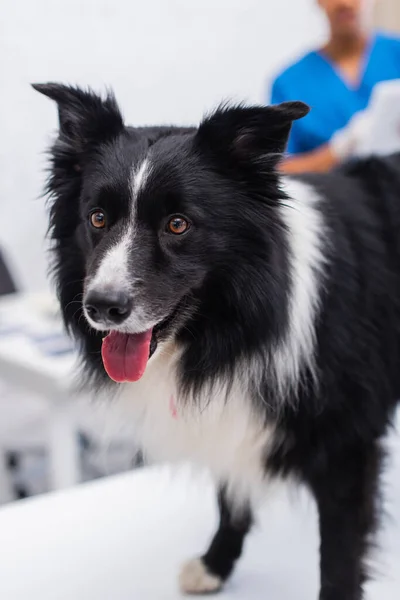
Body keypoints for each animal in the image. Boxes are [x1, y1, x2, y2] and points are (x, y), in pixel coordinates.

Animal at [33, 82, 400, 596]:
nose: (102, 307)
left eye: (178, 224)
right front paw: (216, 564)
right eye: (98, 218)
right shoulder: (232, 412)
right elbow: (231, 494)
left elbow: (340, 554)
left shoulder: (348, 444)